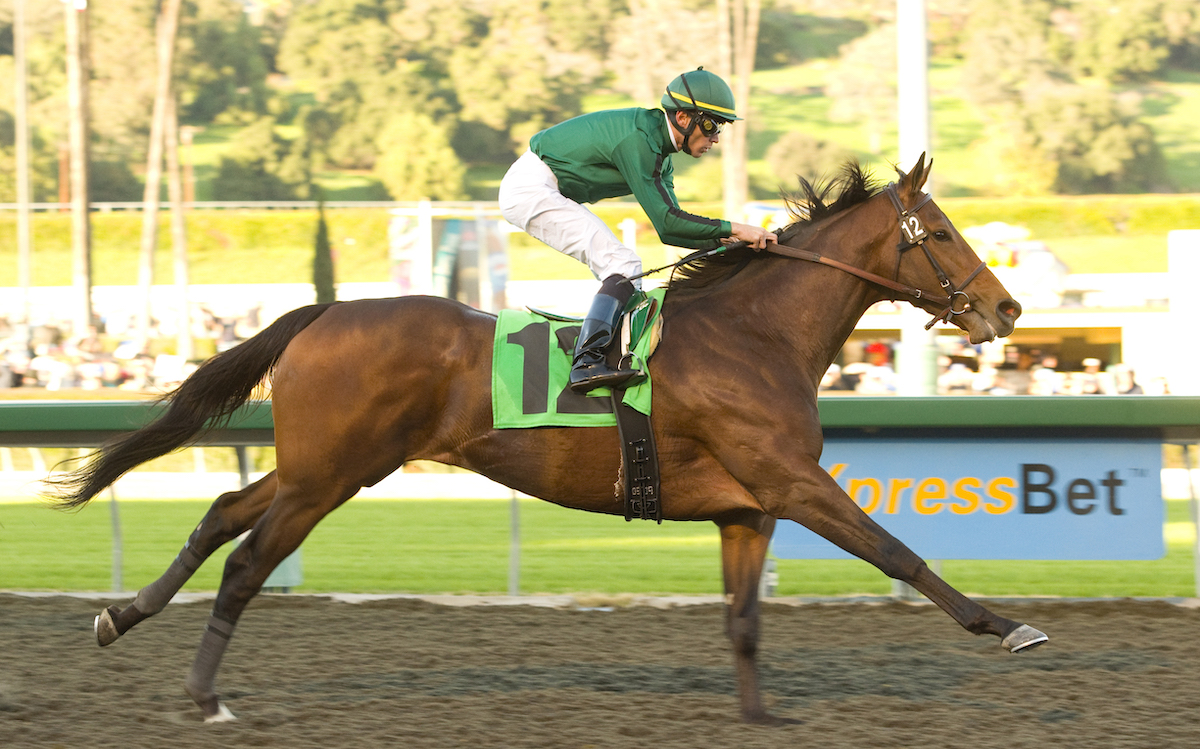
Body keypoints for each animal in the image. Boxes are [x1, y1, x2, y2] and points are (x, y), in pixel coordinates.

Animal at [46, 156, 1041, 724]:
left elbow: (745, 618)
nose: (1008, 309)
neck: (755, 333)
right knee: (249, 560)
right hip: (329, 476)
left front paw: (760, 717)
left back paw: (119, 615)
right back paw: (204, 695)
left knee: (220, 510)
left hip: (319, 467)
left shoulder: (747, 509)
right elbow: (899, 552)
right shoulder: (792, 482)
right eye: (941, 231)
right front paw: (1008, 626)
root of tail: (324, 311)